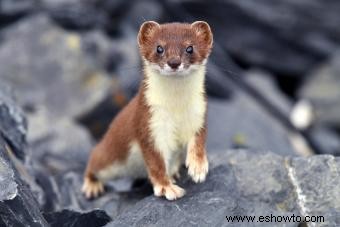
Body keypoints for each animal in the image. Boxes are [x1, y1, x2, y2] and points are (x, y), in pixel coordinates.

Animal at [82, 20, 212, 200]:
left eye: (190, 48)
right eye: (159, 48)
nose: (173, 62)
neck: (176, 107)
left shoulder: (199, 112)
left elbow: (199, 140)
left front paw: (198, 167)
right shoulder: (149, 121)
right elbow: (155, 161)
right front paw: (167, 188)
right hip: (109, 155)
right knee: (94, 159)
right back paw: (92, 186)